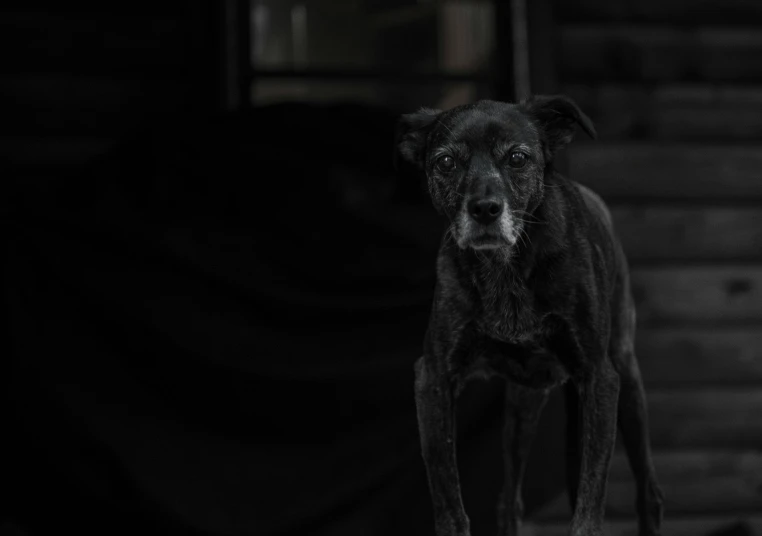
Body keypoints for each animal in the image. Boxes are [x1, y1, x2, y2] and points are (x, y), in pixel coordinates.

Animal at [394, 97, 664, 536]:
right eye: (446, 162)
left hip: (627, 383)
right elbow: (449, 499)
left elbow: (588, 506)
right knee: (509, 500)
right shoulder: (433, 379)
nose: (485, 209)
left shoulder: (600, 380)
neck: (507, 270)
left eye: (518, 157)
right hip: (521, 412)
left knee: (648, 492)